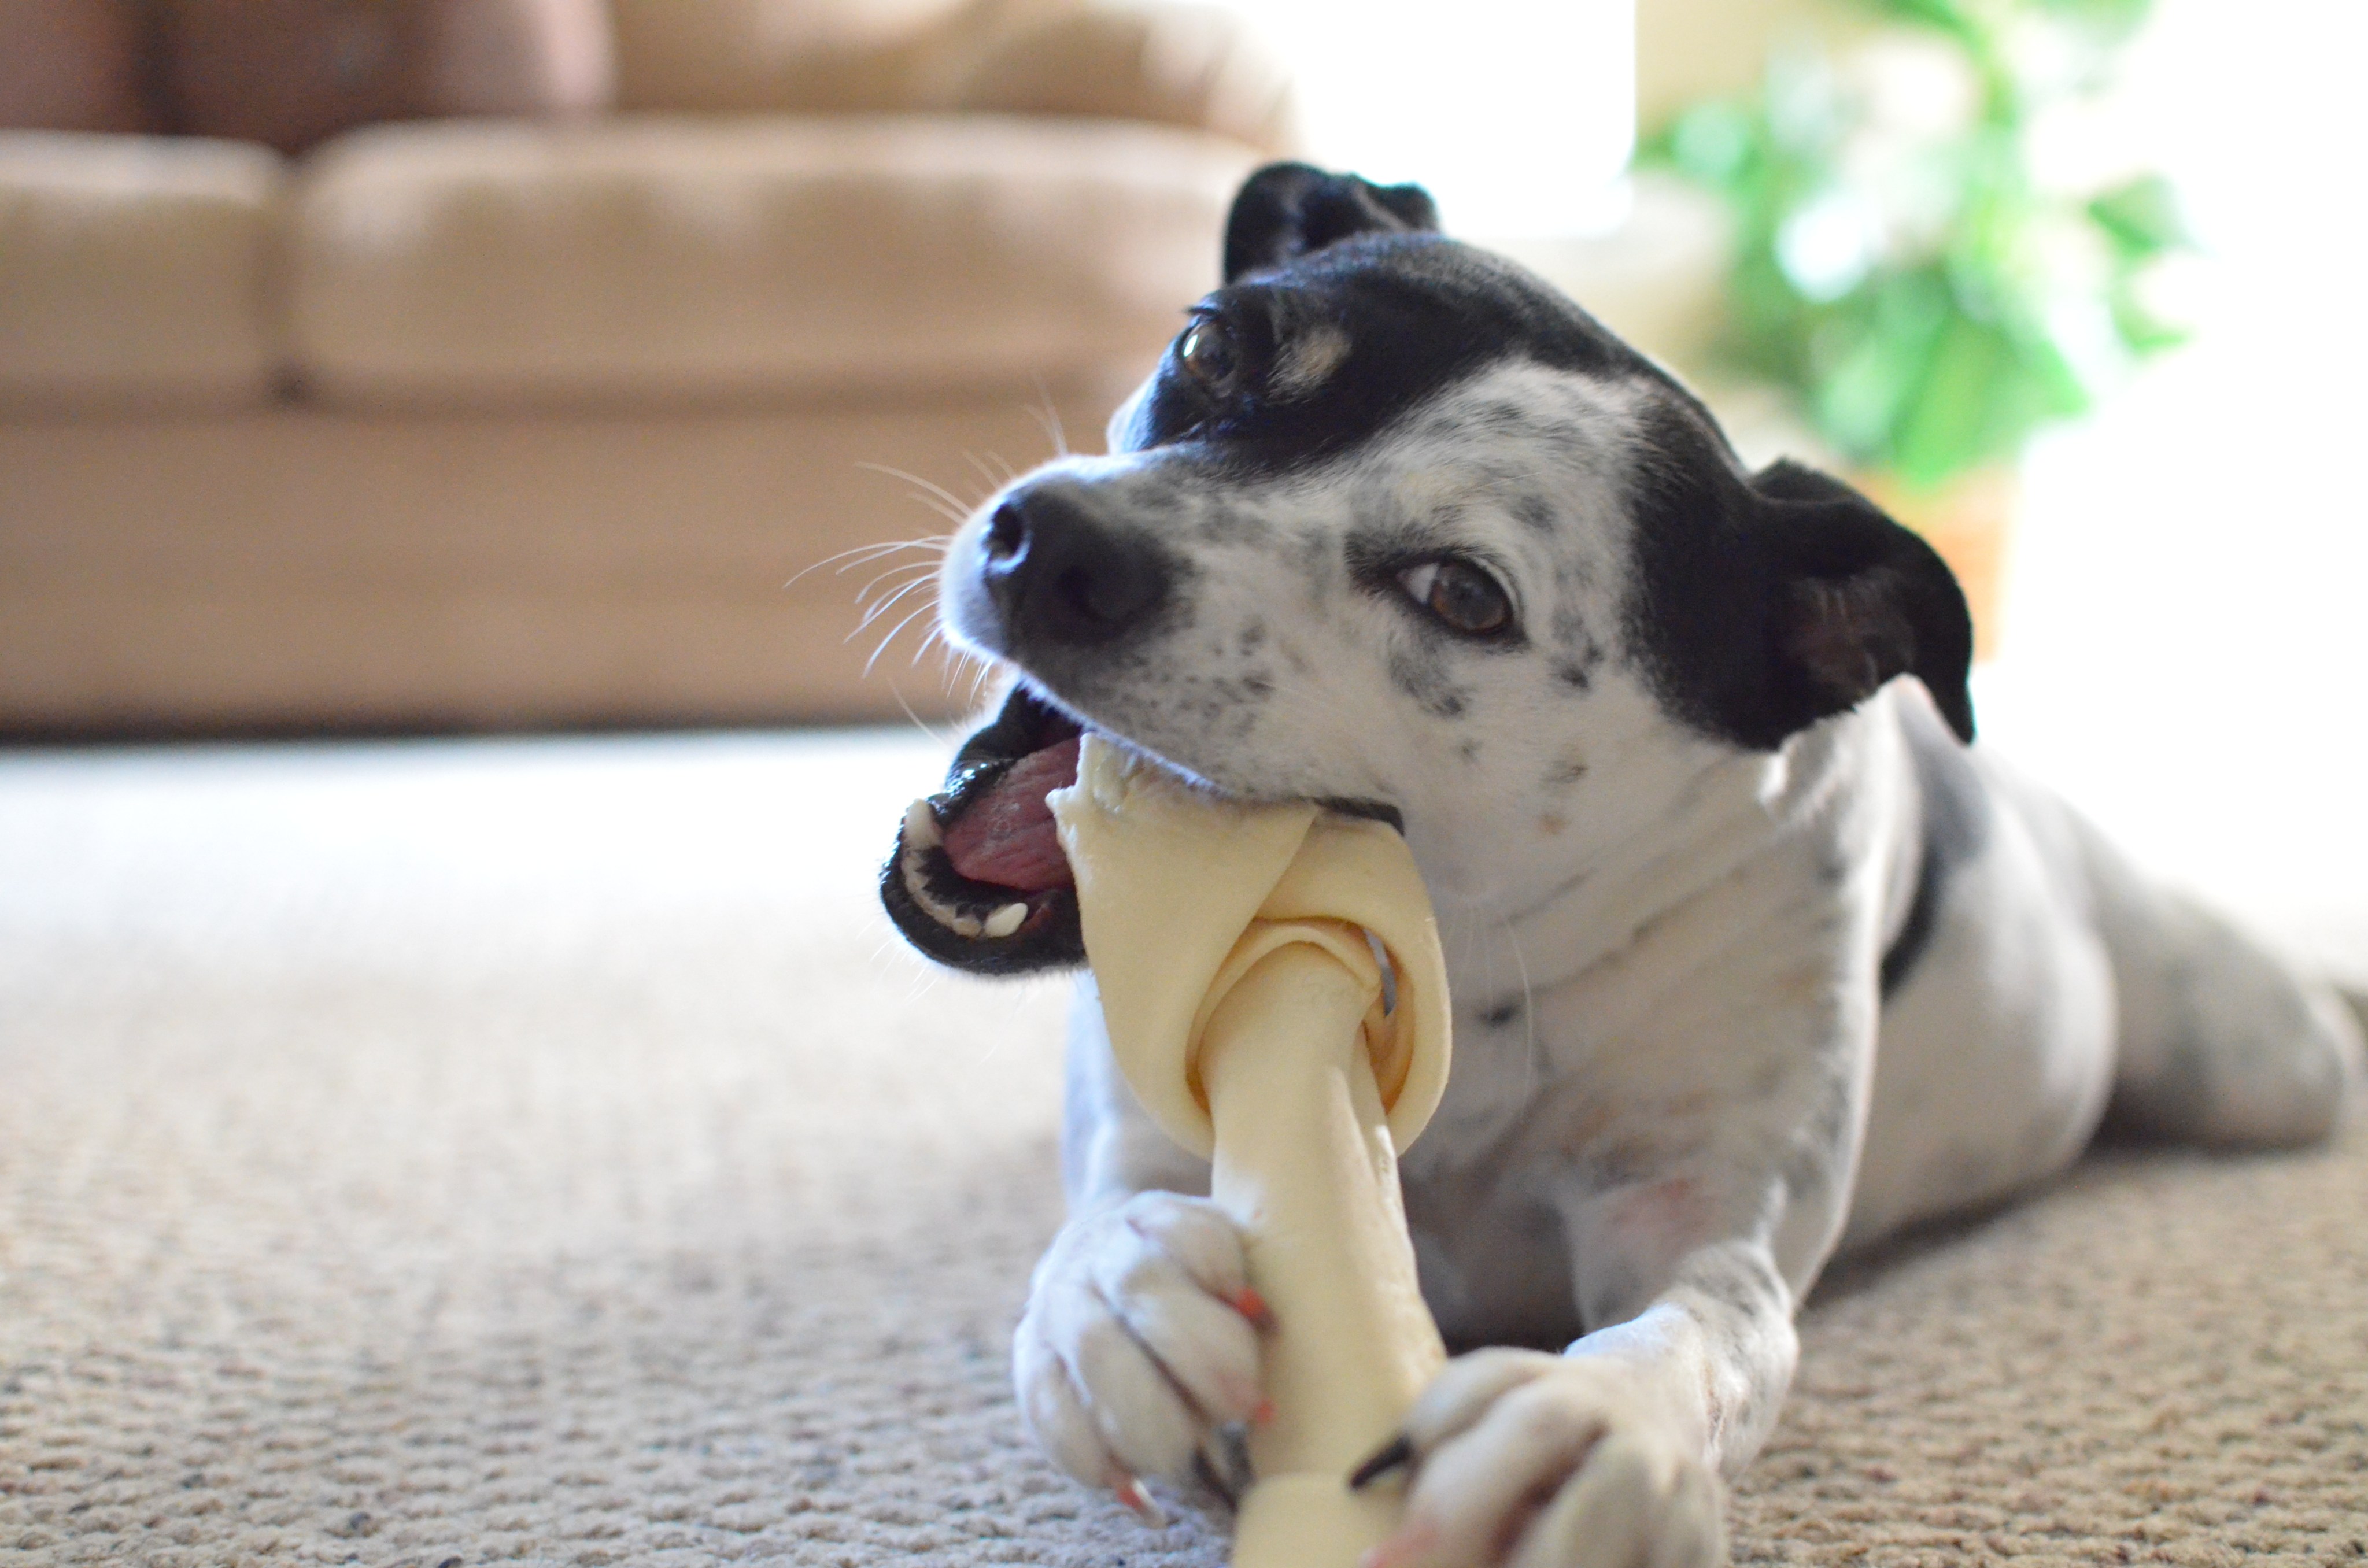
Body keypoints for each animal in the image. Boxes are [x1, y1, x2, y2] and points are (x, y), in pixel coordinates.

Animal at [876, 169, 2367, 1568]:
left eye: (1462, 594)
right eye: (1210, 348)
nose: (1049, 541)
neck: (1474, 962)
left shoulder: (1703, 1222)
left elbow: (1705, 1333)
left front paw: (1587, 1428)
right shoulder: (1157, 1115)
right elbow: (1115, 1209)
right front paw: (1118, 1298)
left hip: (2255, 1062)